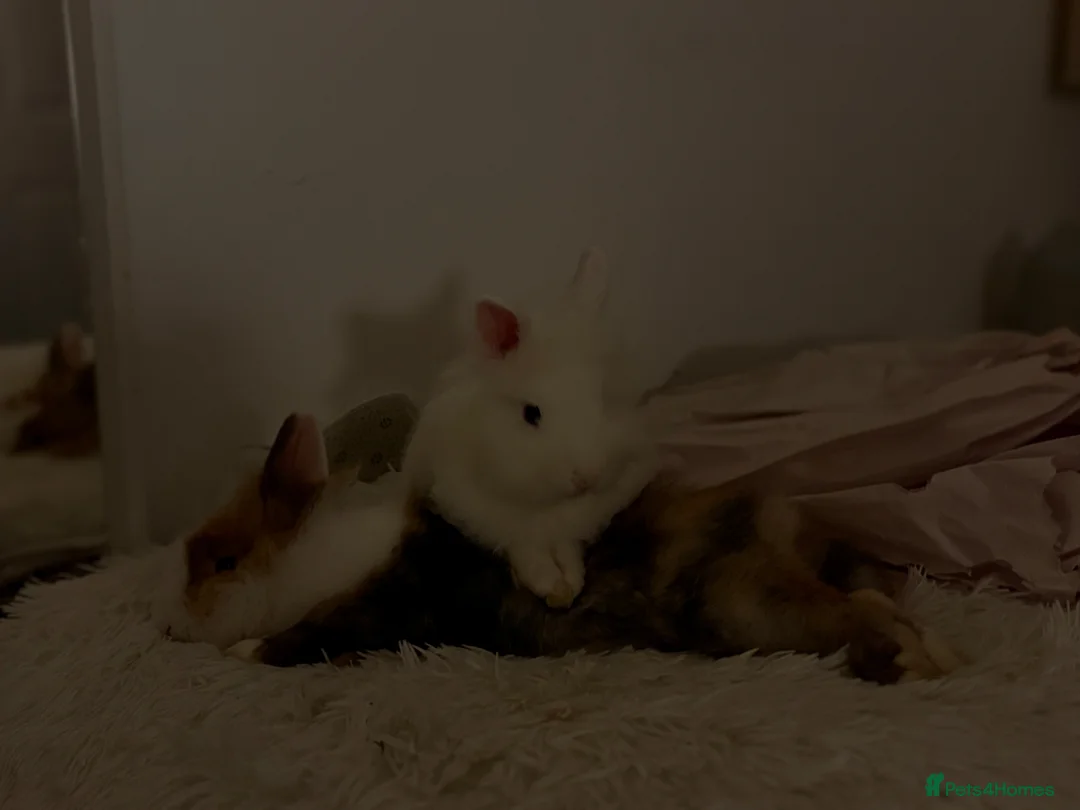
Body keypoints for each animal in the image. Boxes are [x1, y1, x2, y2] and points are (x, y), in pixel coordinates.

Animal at [165, 410, 961, 685]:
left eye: (223, 563)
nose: (173, 626)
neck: (321, 557)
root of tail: (774, 522)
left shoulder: (375, 607)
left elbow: (301, 638)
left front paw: (242, 651)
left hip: (744, 604)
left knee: (865, 612)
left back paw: (915, 661)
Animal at [402, 248, 661, 609]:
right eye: (530, 413)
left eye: (604, 399)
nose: (588, 477)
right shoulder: (490, 514)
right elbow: (527, 552)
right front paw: (550, 585)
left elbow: (566, 547)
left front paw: (572, 582)